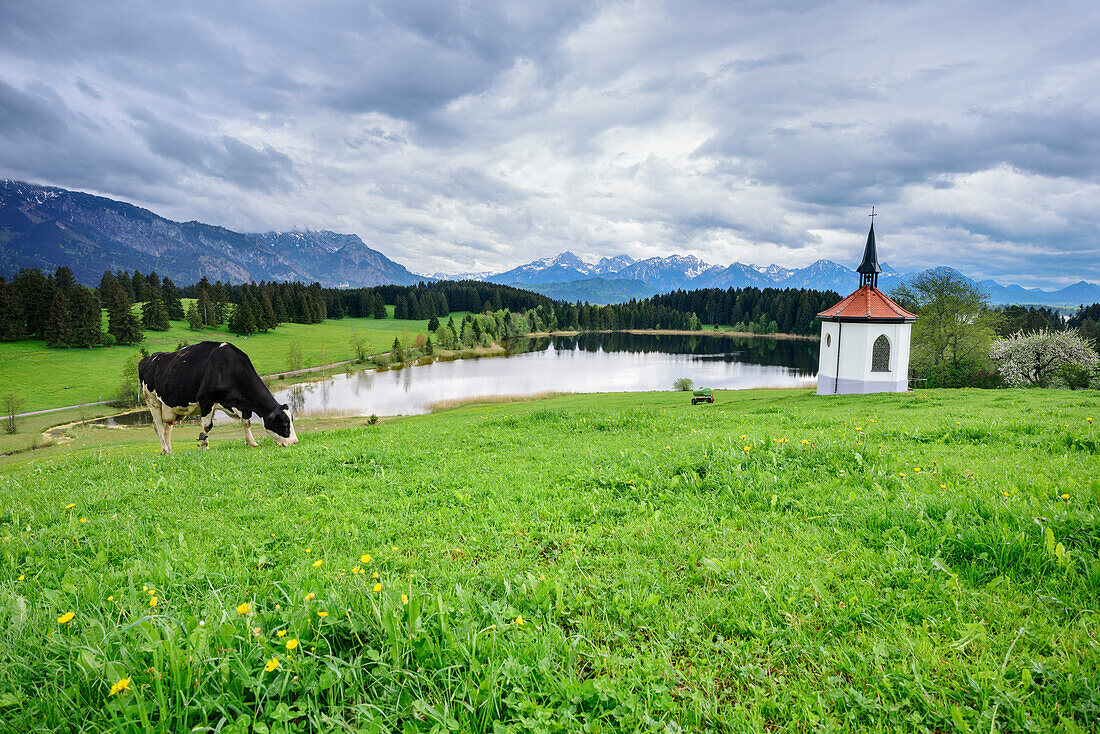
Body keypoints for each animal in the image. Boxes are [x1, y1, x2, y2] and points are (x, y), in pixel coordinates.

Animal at [137, 343, 301, 453]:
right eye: (284, 424)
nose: (294, 442)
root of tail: (149, 358)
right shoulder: (206, 400)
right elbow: (207, 426)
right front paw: (204, 445)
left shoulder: (241, 405)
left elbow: (246, 422)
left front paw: (251, 442)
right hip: (152, 401)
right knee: (158, 426)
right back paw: (165, 449)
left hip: (169, 407)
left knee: (167, 428)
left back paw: (169, 450)